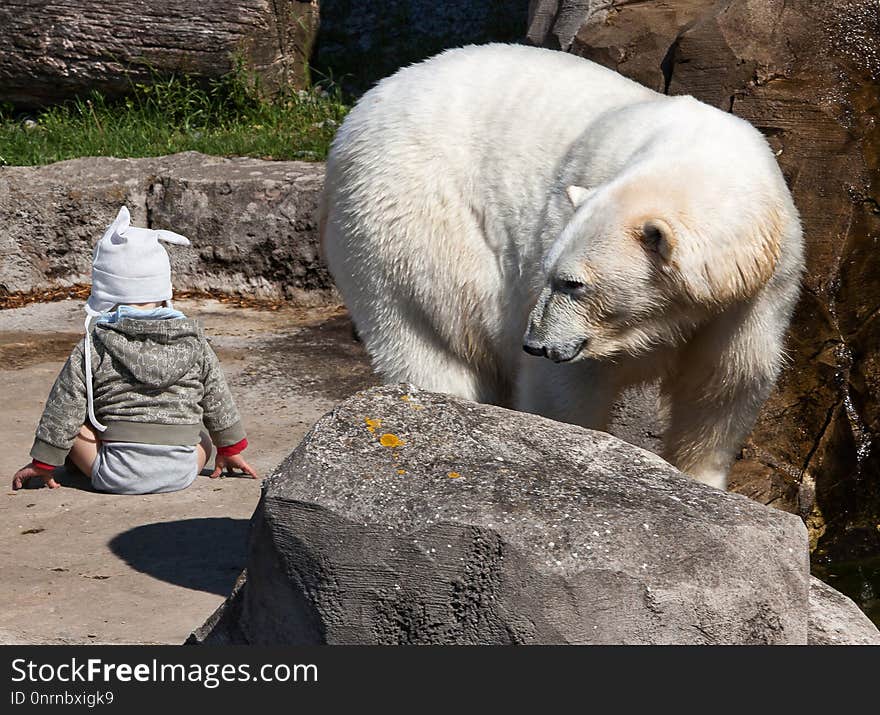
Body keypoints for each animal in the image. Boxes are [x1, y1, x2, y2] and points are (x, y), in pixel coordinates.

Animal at [322, 42, 804, 490]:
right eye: (553, 275)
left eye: (574, 283)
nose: (534, 344)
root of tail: (355, 116)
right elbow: (566, 389)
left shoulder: (759, 292)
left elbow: (723, 385)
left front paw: (702, 482)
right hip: (411, 227)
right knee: (428, 342)